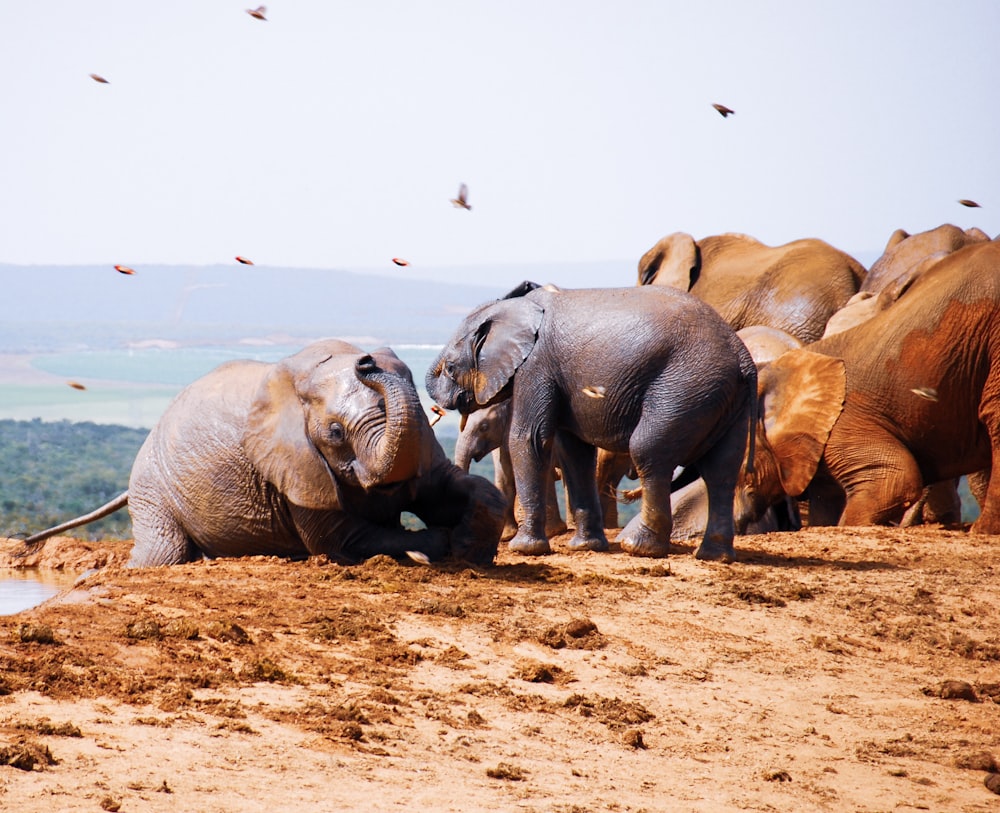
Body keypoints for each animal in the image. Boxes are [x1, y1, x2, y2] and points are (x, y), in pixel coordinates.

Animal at [23, 340, 508, 568]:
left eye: (426, 413)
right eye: (335, 432)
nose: (367, 362)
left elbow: (450, 489)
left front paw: (470, 546)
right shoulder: (294, 467)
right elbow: (341, 539)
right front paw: (437, 545)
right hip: (152, 486)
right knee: (163, 554)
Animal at [422, 280, 756, 560]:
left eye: (450, 368)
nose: (440, 410)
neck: (515, 308)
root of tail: (743, 359)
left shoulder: (536, 366)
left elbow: (529, 438)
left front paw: (525, 550)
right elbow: (574, 452)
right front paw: (586, 547)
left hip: (684, 388)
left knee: (649, 451)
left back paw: (639, 547)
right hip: (722, 399)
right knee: (722, 469)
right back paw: (714, 556)